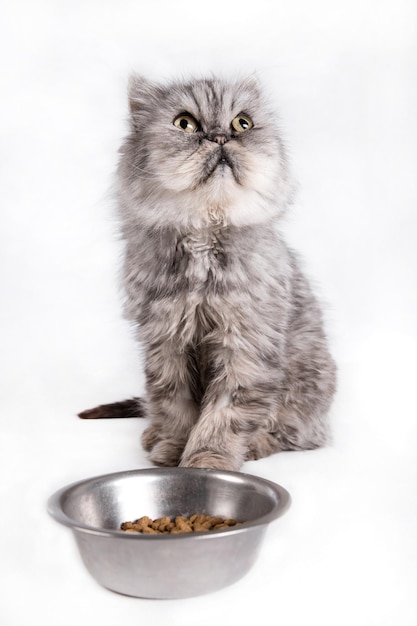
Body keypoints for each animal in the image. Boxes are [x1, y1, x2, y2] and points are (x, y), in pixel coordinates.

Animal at [78, 73, 336, 470]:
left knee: (296, 434)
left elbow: (224, 415)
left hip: (306, 392)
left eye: (242, 123)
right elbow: (174, 406)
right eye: (185, 124)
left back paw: (256, 445)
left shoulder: (245, 345)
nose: (219, 137)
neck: (204, 229)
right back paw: (152, 435)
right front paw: (172, 450)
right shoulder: (167, 343)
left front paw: (207, 462)